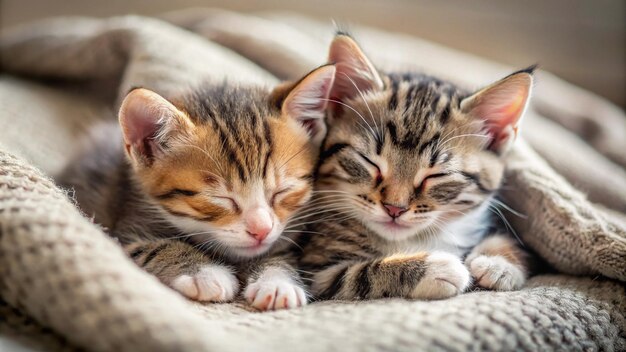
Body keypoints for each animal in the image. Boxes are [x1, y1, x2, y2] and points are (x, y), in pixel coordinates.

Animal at [58, 64, 336, 310]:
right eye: (220, 198)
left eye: (283, 190)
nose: (261, 230)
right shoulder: (123, 230)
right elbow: (159, 246)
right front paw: (205, 274)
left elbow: (279, 255)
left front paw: (277, 282)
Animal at [294, 35, 528, 300]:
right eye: (369, 162)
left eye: (436, 175)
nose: (394, 209)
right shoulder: (318, 272)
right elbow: (359, 275)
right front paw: (436, 267)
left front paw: (498, 263)